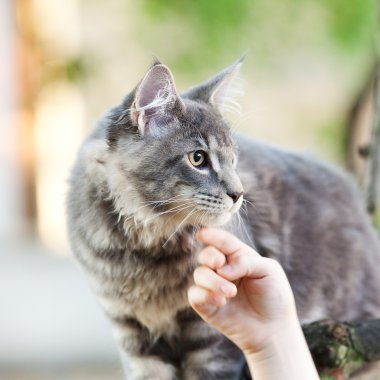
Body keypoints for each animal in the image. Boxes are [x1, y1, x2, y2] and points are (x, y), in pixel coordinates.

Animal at [67, 59, 380, 380]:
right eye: (197, 158)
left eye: (233, 159)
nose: (238, 193)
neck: (145, 248)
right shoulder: (133, 337)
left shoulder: (212, 343)